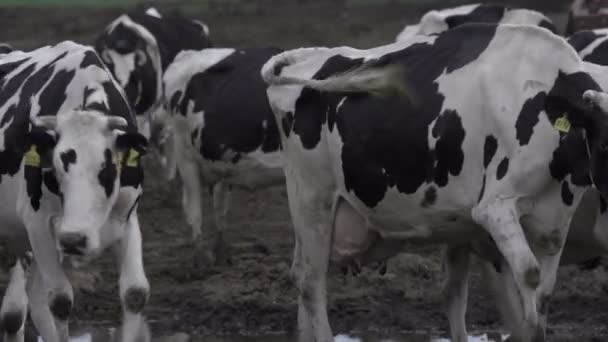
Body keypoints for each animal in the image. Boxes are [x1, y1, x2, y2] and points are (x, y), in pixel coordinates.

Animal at [0, 40, 149, 342]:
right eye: (54, 168)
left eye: (107, 170)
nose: (73, 240)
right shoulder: (37, 222)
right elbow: (60, 299)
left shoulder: (127, 216)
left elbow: (134, 293)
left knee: (32, 303)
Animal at [162, 47, 284, 268]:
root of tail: (188, 55)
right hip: (185, 156)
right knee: (194, 209)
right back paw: (201, 259)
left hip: (221, 164)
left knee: (219, 207)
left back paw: (222, 253)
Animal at [264, 22, 608, 340]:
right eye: (604, 141)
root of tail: (312, 55)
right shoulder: (494, 208)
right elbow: (529, 276)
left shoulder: (553, 224)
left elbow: (543, 295)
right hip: (312, 197)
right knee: (311, 281)